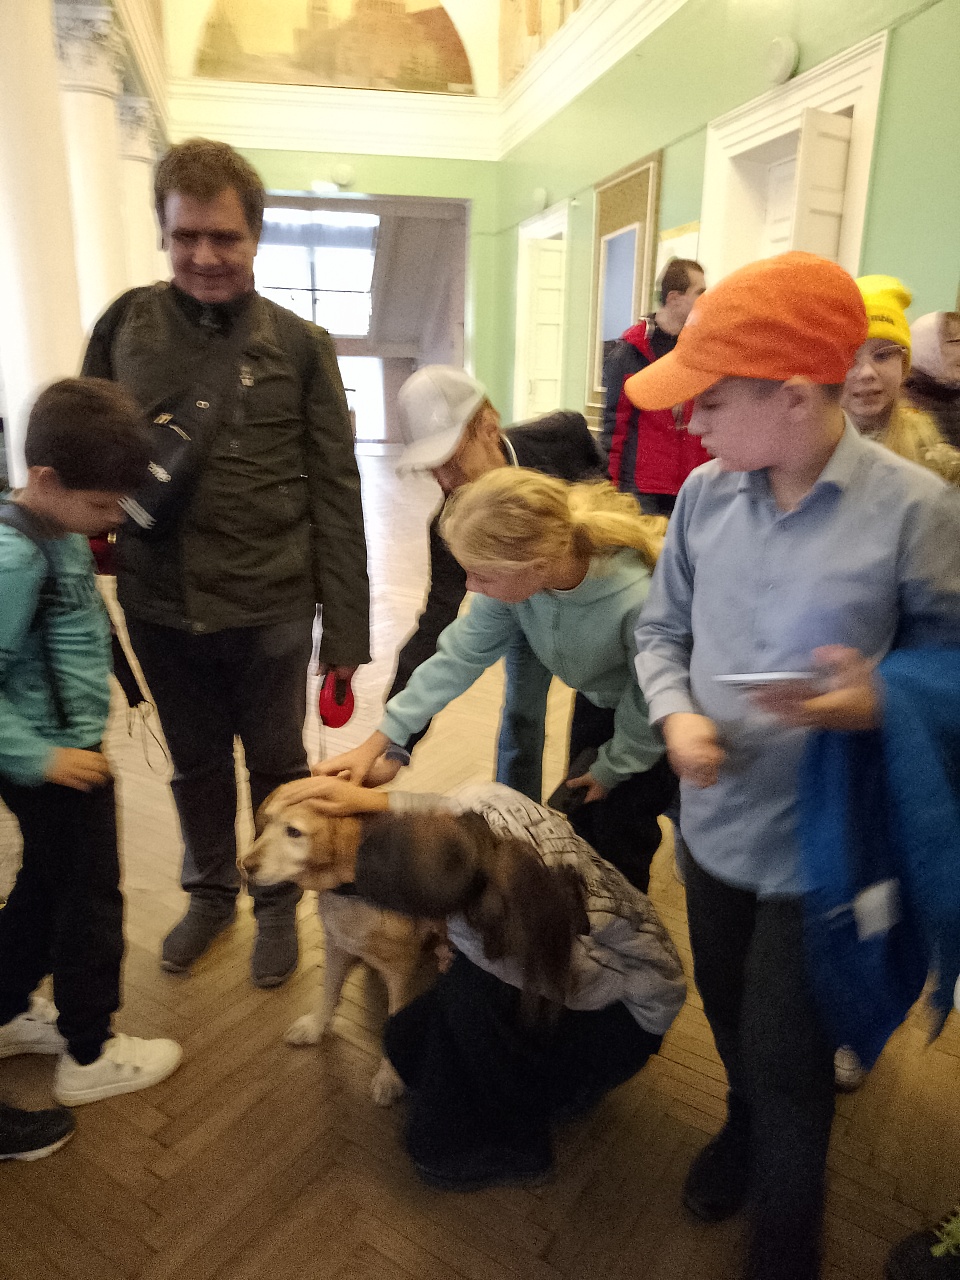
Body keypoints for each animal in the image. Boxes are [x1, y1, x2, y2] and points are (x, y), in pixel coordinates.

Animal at [242, 789, 434, 1106]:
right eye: (266, 821)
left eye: (294, 832)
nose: (244, 866)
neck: (351, 893)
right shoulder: (336, 945)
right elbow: (329, 991)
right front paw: (315, 1026)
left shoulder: (404, 972)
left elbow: (396, 1025)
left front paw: (389, 1078)